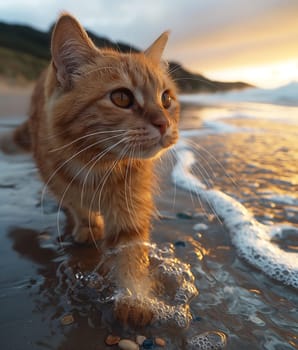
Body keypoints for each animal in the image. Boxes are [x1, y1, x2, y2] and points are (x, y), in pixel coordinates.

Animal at [9, 13, 178, 326]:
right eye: (122, 98)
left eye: (166, 99)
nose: (164, 123)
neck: (96, 164)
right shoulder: (55, 179)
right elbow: (76, 205)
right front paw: (88, 225)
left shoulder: (130, 202)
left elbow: (130, 250)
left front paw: (134, 297)